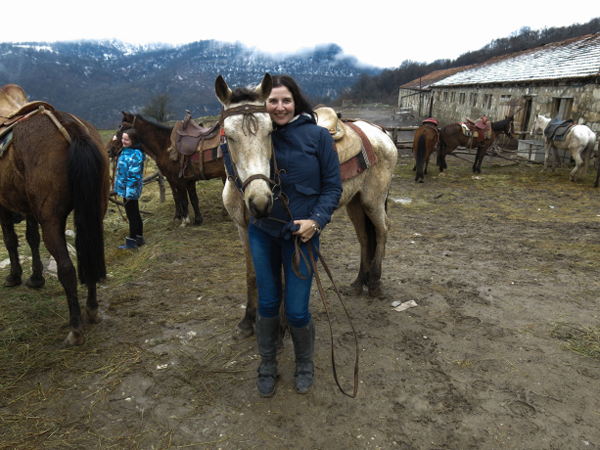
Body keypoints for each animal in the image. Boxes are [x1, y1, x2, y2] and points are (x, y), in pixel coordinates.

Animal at [0, 103, 109, 344]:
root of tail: (68, 123)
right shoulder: (29, 209)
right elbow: (31, 238)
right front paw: (36, 277)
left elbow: (11, 239)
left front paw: (14, 275)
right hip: (94, 212)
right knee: (90, 255)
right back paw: (92, 310)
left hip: (51, 221)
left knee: (66, 269)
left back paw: (75, 328)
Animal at [214, 73, 398, 338]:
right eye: (228, 136)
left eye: (270, 132)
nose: (260, 202)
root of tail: (380, 132)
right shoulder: (243, 228)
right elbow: (252, 274)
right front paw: (248, 321)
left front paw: (281, 327)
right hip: (355, 203)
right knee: (365, 237)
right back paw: (357, 284)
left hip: (372, 200)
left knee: (382, 230)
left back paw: (373, 282)